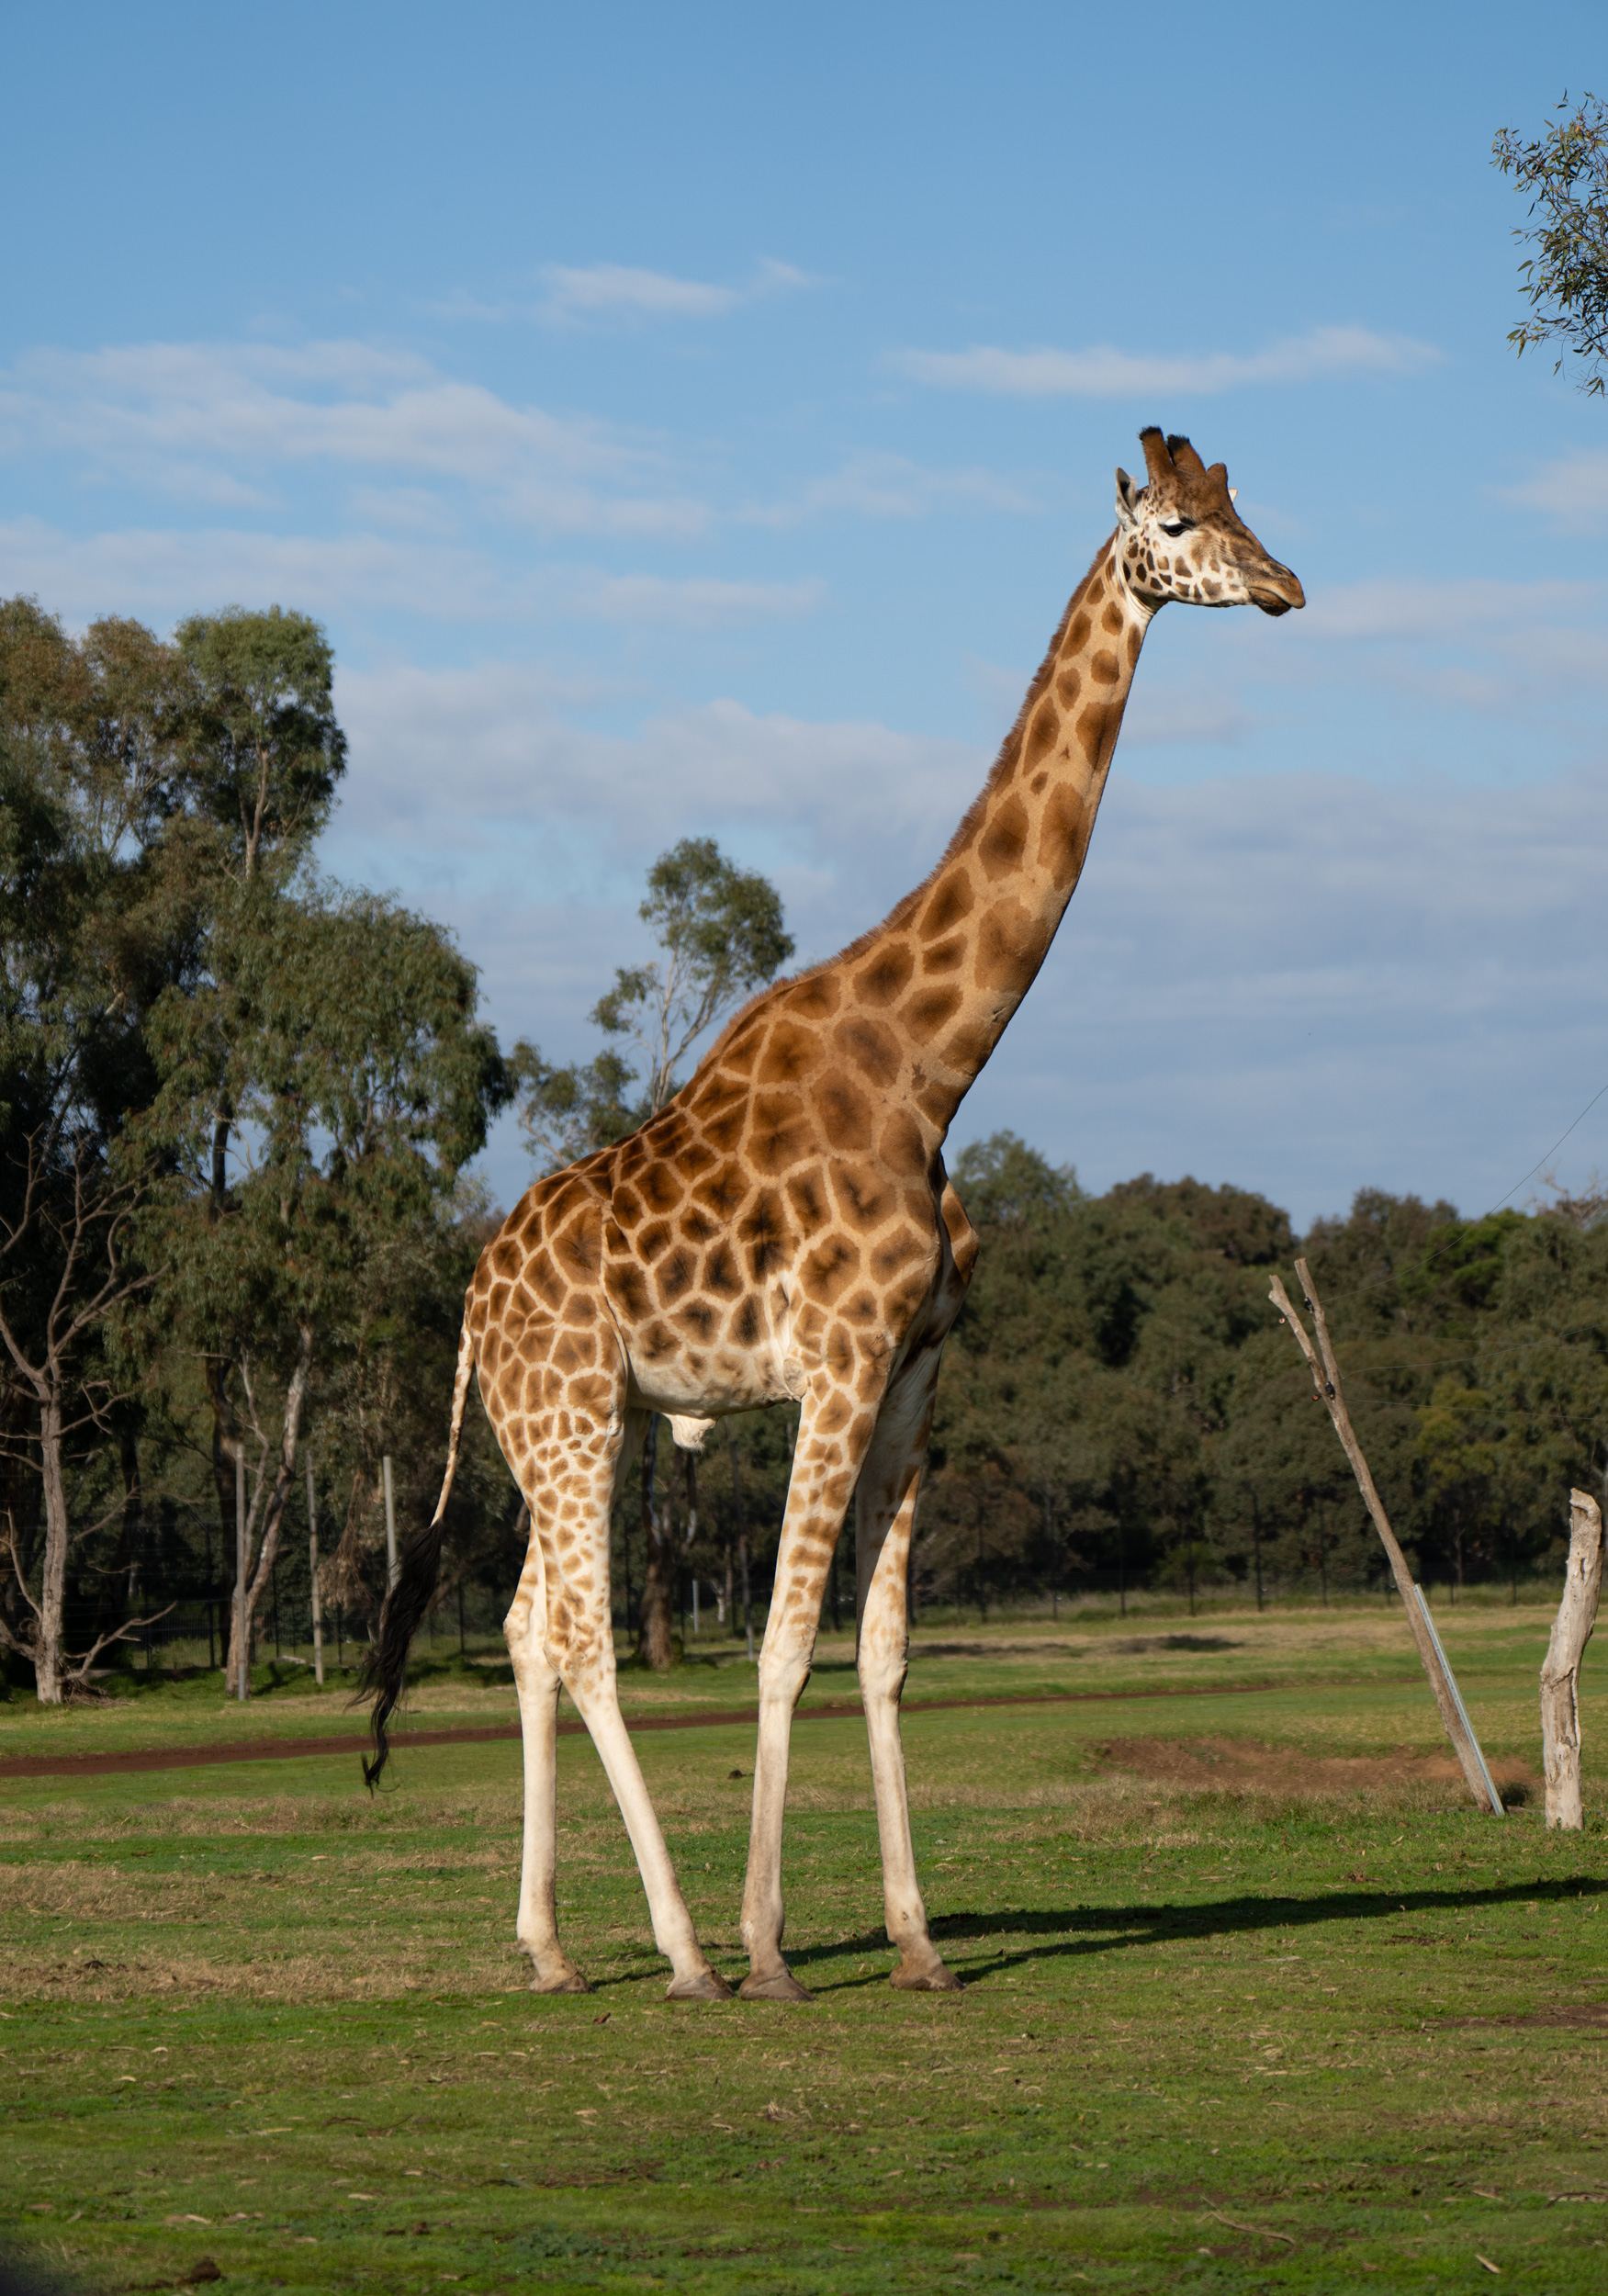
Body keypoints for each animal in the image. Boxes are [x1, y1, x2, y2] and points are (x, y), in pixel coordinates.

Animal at [360, 427, 1295, 1993]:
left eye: (1240, 502)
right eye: (1171, 525)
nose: (1285, 587)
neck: (931, 1065)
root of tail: (472, 1307)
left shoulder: (918, 1368)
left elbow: (884, 1650)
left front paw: (917, 1943)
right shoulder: (840, 1360)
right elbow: (785, 1644)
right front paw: (771, 1948)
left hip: (564, 1427)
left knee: (526, 1625)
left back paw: (549, 1948)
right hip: (569, 1418)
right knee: (583, 1634)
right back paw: (681, 1951)